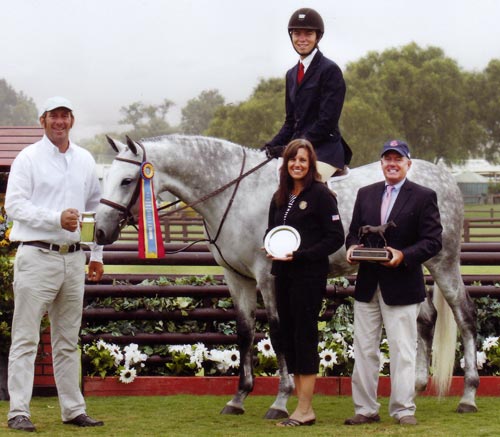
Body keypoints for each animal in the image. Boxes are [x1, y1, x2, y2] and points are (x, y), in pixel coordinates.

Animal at [94, 135, 480, 416]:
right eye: (106, 178)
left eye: (127, 180)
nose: (99, 231)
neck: (237, 194)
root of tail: (443, 178)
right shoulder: (237, 279)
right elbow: (245, 333)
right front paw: (239, 398)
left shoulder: (268, 277)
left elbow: (278, 333)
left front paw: (281, 400)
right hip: (412, 266)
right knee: (426, 318)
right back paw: (414, 388)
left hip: (443, 262)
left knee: (464, 317)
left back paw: (468, 396)